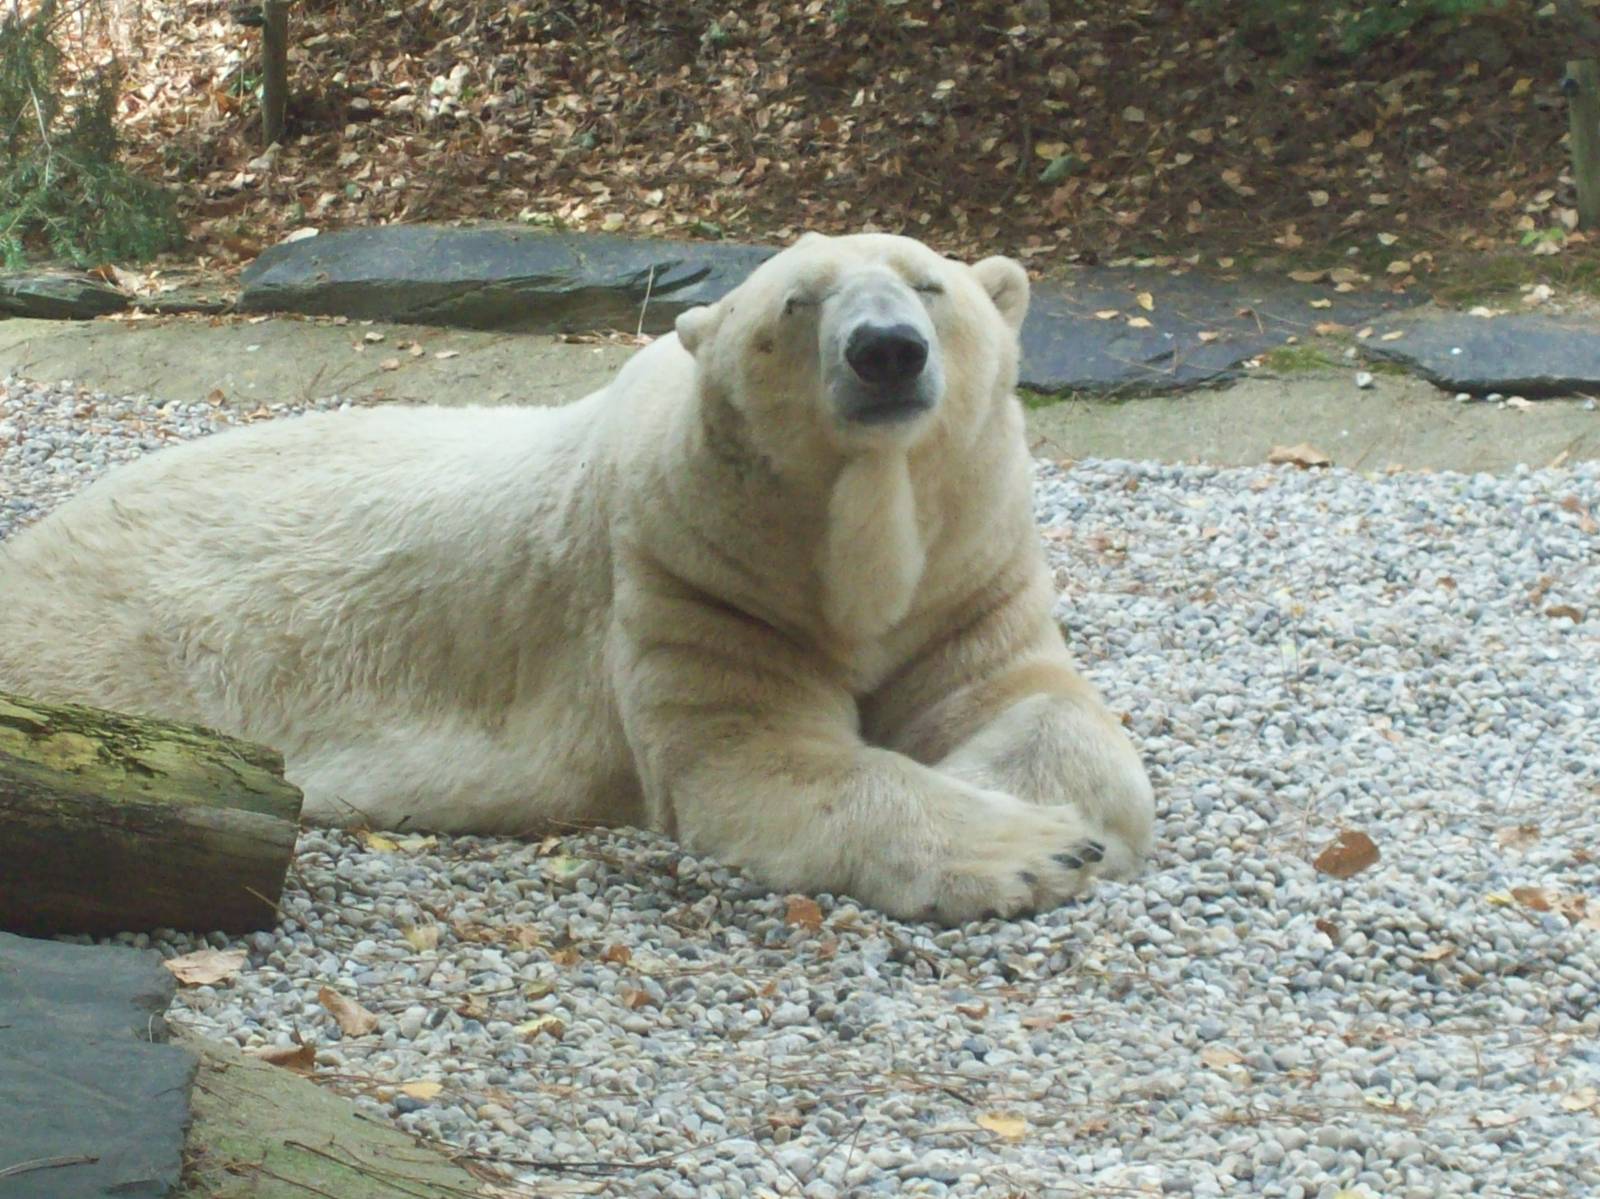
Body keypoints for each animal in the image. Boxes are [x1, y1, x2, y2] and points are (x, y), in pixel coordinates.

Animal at [0, 232, 1154, 924]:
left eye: (929, 285)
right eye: (797, 301)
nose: (885, 351)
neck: (850, 542)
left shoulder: (970, 562)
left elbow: (1031, 701)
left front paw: (1037, 803)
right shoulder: (694, 571)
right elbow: (762, 760)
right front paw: (1030, 847)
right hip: (110, 639)